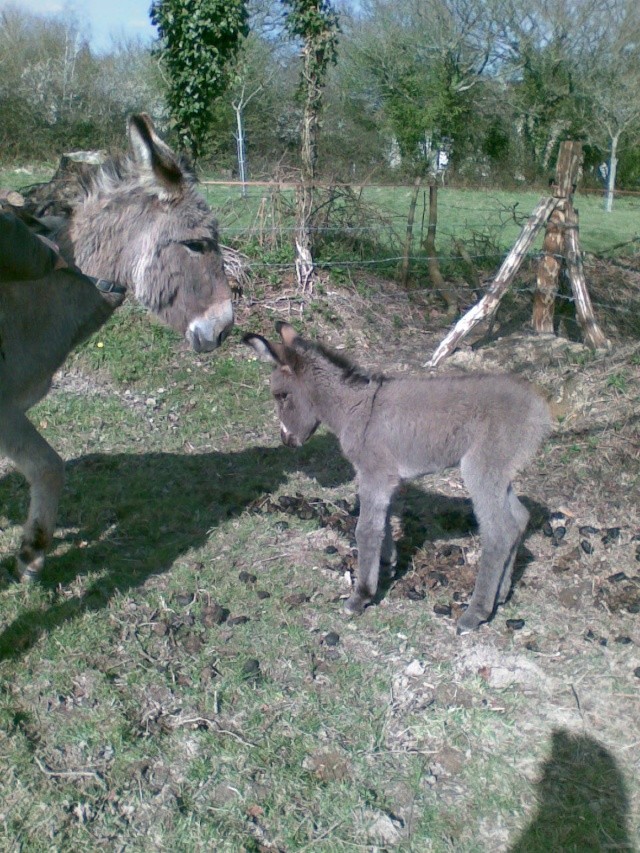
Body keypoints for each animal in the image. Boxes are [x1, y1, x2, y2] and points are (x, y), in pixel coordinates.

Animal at [242, 324, 552, 632]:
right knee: (518, 519)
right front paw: (388, 565)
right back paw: (501, 594)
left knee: (499, 532)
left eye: (281, 396)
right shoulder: (386, 478)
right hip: (500, 473)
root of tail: (540, 406)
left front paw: (362, 595)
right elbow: (384, 522)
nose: (286, 442)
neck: (356, 408)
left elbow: (366, 530)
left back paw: (476, 612)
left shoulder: (373, 474)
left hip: (481, 468)